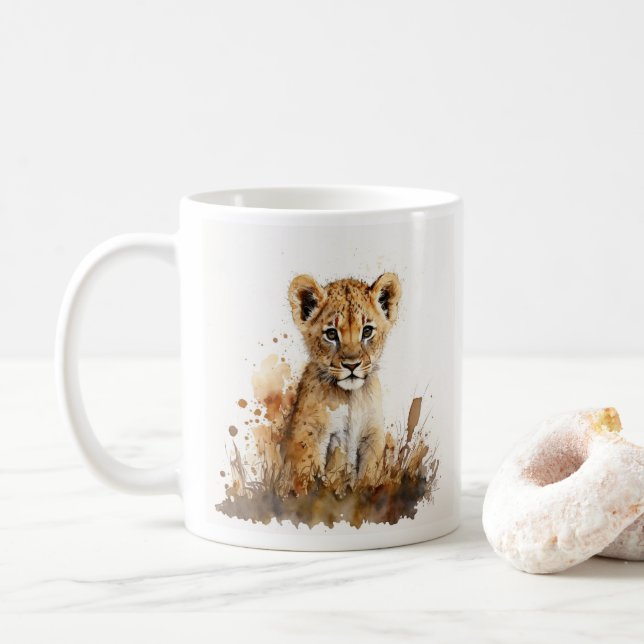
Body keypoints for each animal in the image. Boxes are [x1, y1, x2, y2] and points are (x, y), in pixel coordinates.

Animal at [283, 272, 402, 492]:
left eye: (367, 331)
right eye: (331, 334)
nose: (352, 365)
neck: (351, 397)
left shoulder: (373, 434)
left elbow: (369, 473)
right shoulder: (309, 432)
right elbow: (305, 474)